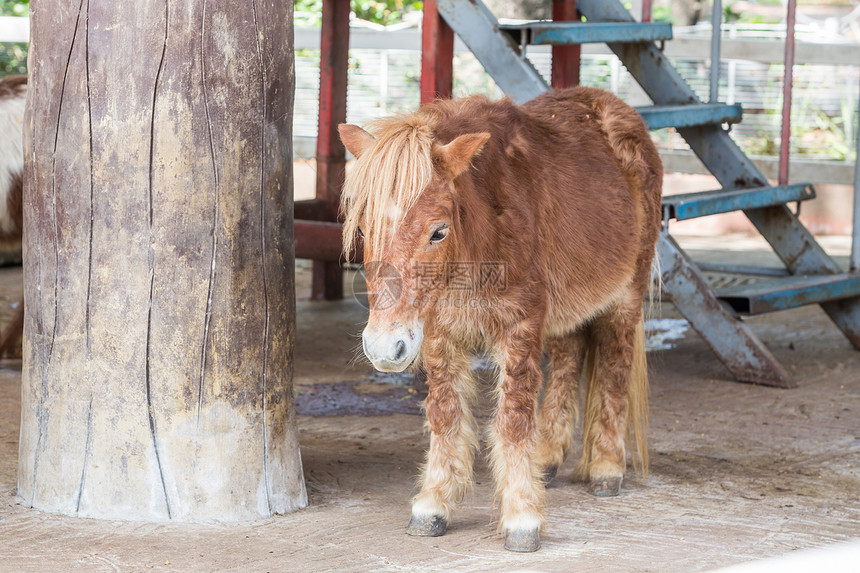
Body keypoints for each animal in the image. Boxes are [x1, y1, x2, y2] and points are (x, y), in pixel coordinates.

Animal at [340, 87, 660, 552]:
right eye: (364, 229)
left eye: (438, 231)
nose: (384, 349)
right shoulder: (438, 333)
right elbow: (445, 414)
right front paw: (433, 504)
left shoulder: (520, 326)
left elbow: (513, 420)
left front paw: (522, 516)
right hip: (564, 312)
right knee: (569, 361)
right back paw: (547, 458)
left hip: (625, 299)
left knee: (615, 369)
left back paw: (606, 469)